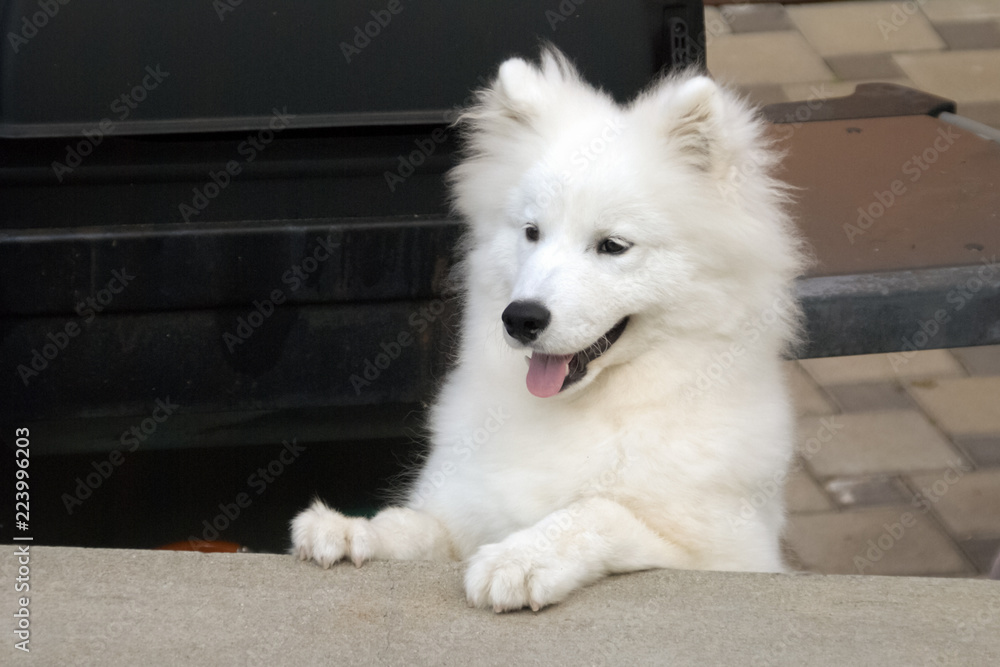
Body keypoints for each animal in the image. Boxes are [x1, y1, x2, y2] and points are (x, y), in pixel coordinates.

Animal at [292, 49, 808, 616]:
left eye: (613, 246)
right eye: (532, 232)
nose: (520, 318)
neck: (582, 412)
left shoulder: (727, 554)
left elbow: (596, 510)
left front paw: (518, 559)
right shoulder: (460, 514)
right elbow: (415, 525)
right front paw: (350, 530)